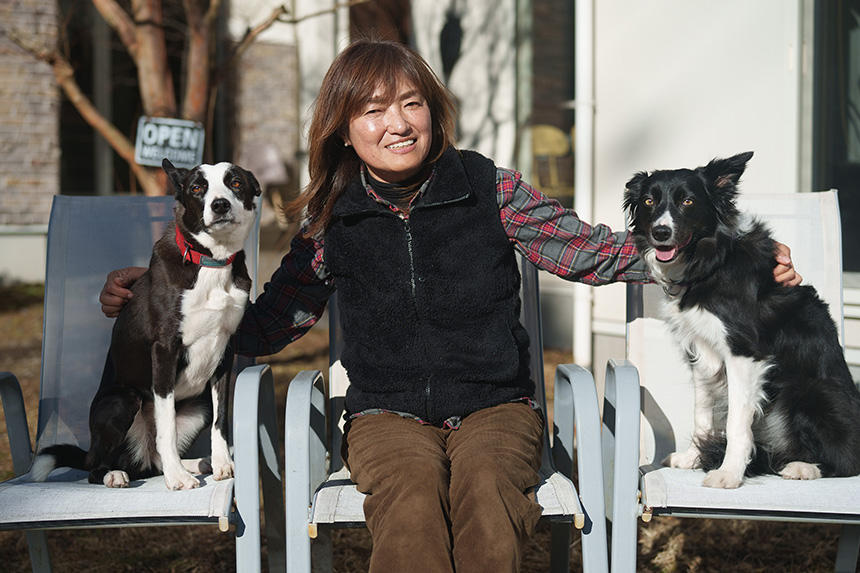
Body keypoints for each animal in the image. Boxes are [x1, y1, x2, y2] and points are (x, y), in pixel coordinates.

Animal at [32, 159, 258, 490]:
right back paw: (116, 473)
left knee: (153, 462)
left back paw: (196, 463)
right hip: (123, 400)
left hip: (198, 406)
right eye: (197, 187)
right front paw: (178, 478)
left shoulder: (226, 352)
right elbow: (166, 425)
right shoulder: (164, 351)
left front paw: (221, 464)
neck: (211, 262)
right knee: (98, 467)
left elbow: (221, 421)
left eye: (236, 183)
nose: (220, 205)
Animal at [624, 151, 860, 488]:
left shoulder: (743, 353)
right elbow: (702, 413)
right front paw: (694, 458)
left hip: (809, 393)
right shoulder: (701, 351)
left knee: (845, 459)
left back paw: (803, 467)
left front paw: (728, 473)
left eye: (688, 201)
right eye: (648, 201)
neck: (712, 260)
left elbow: (736, 423)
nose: (661, 232)